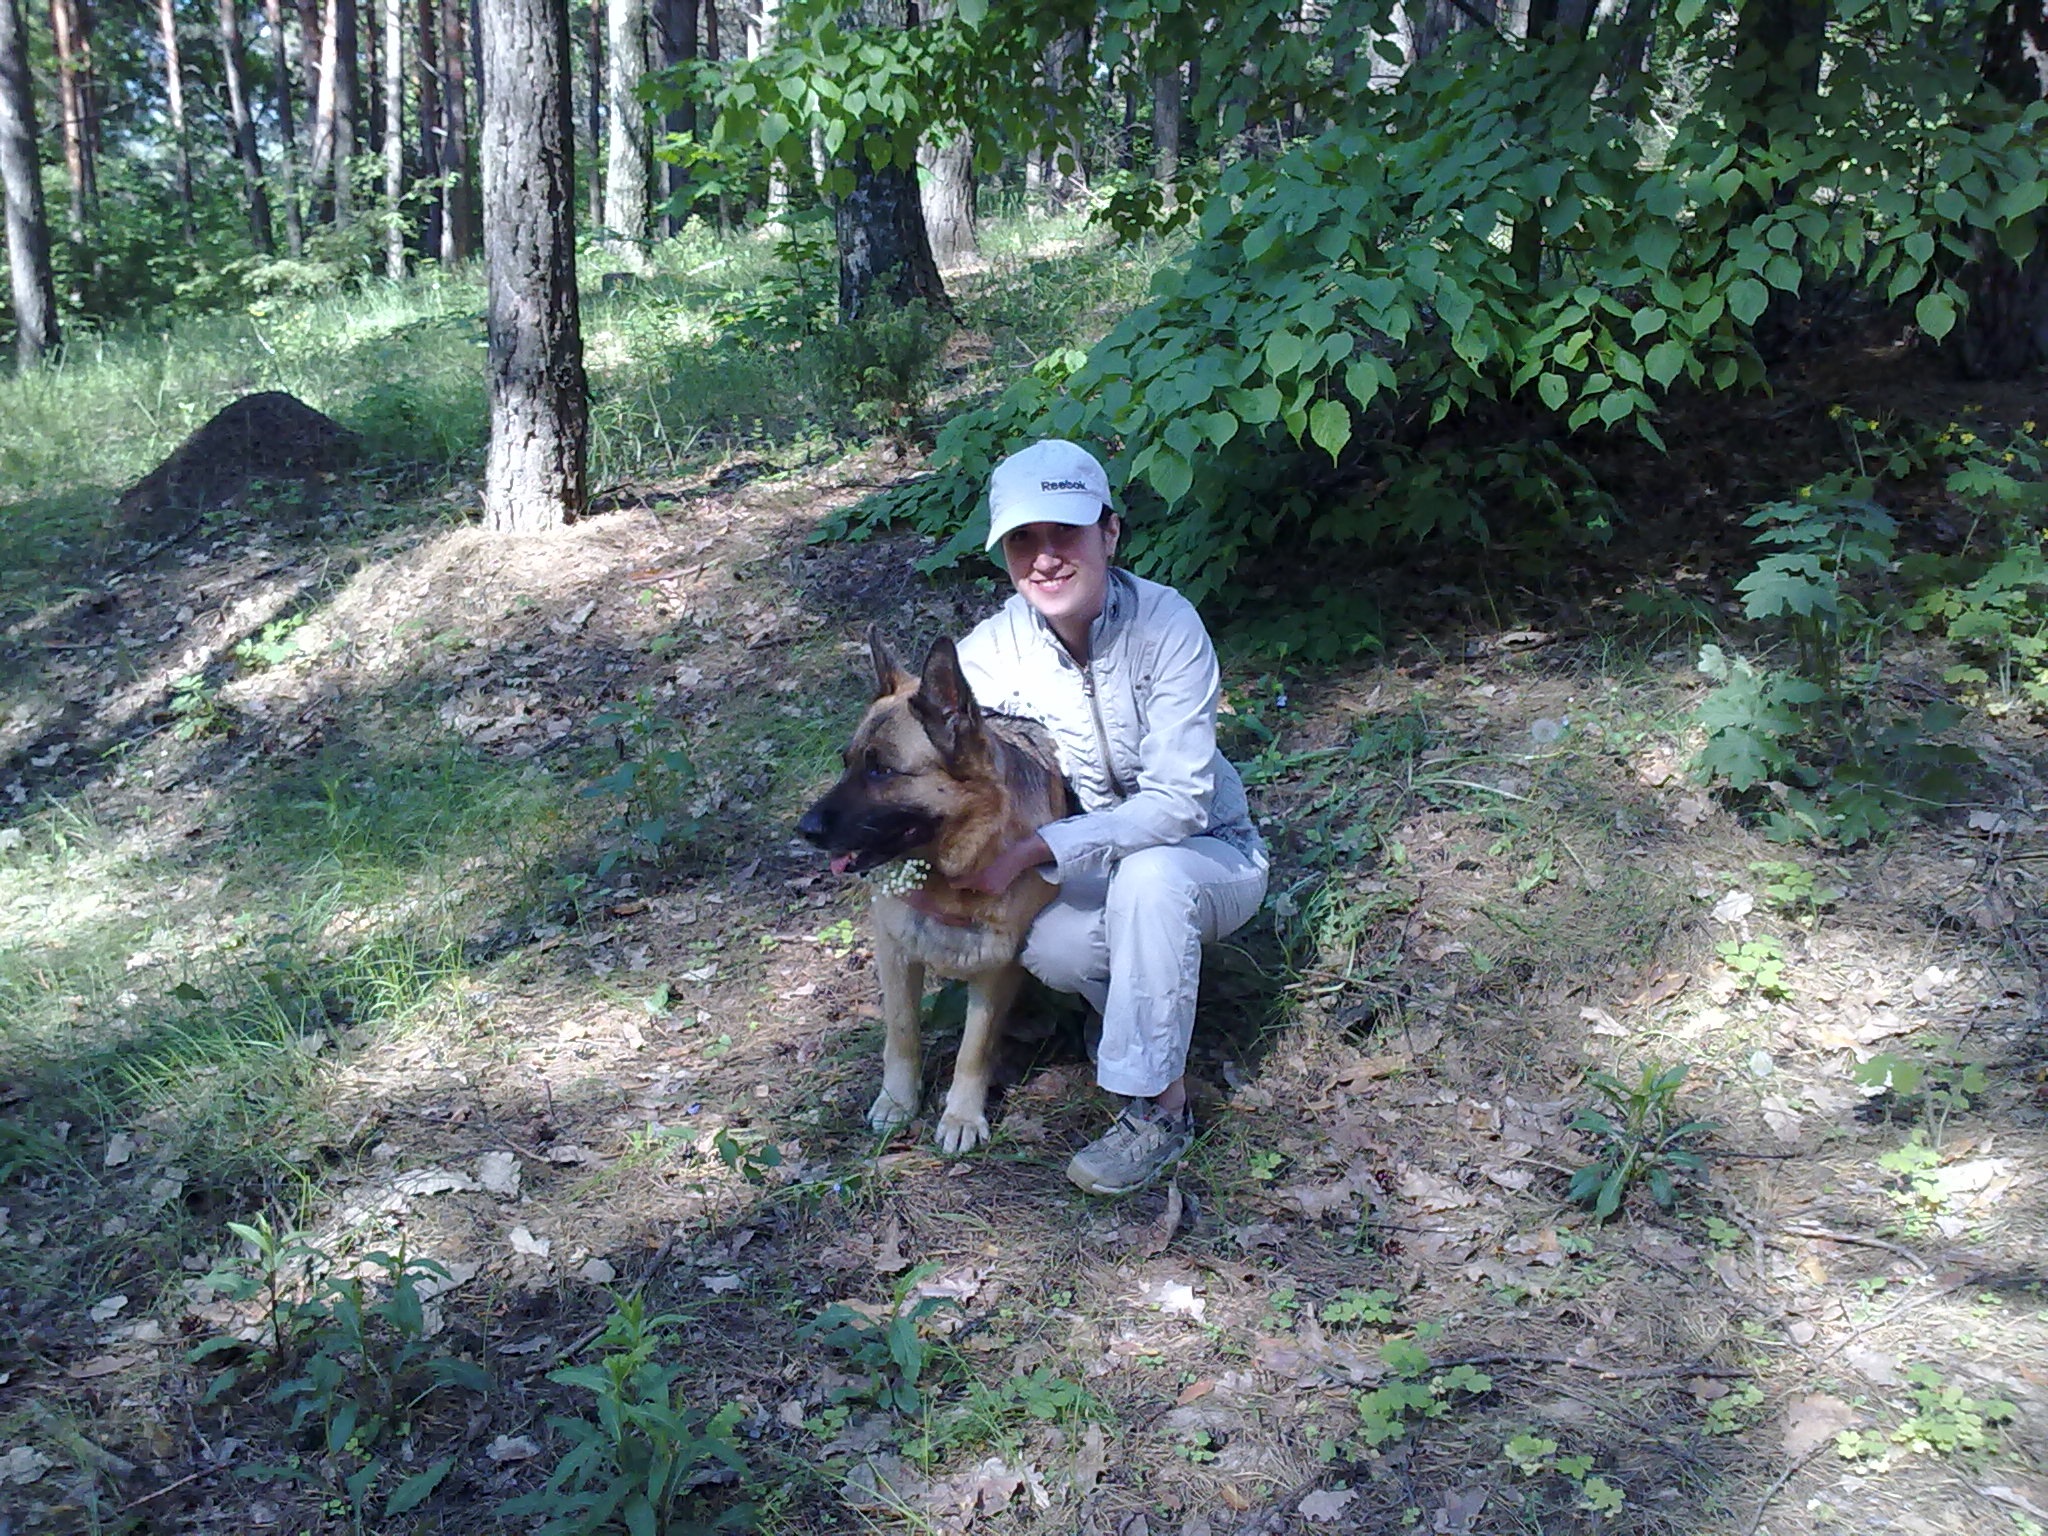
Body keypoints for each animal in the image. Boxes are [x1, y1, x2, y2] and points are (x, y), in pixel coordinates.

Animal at [797, 627, 1069, 1153]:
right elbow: (902, 1032)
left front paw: (961, 1116)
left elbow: (973, 1049)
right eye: (846, 762)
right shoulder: (895, 951)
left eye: (881, 770)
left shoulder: (995, 967)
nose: (805, 829)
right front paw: (898, 1101)